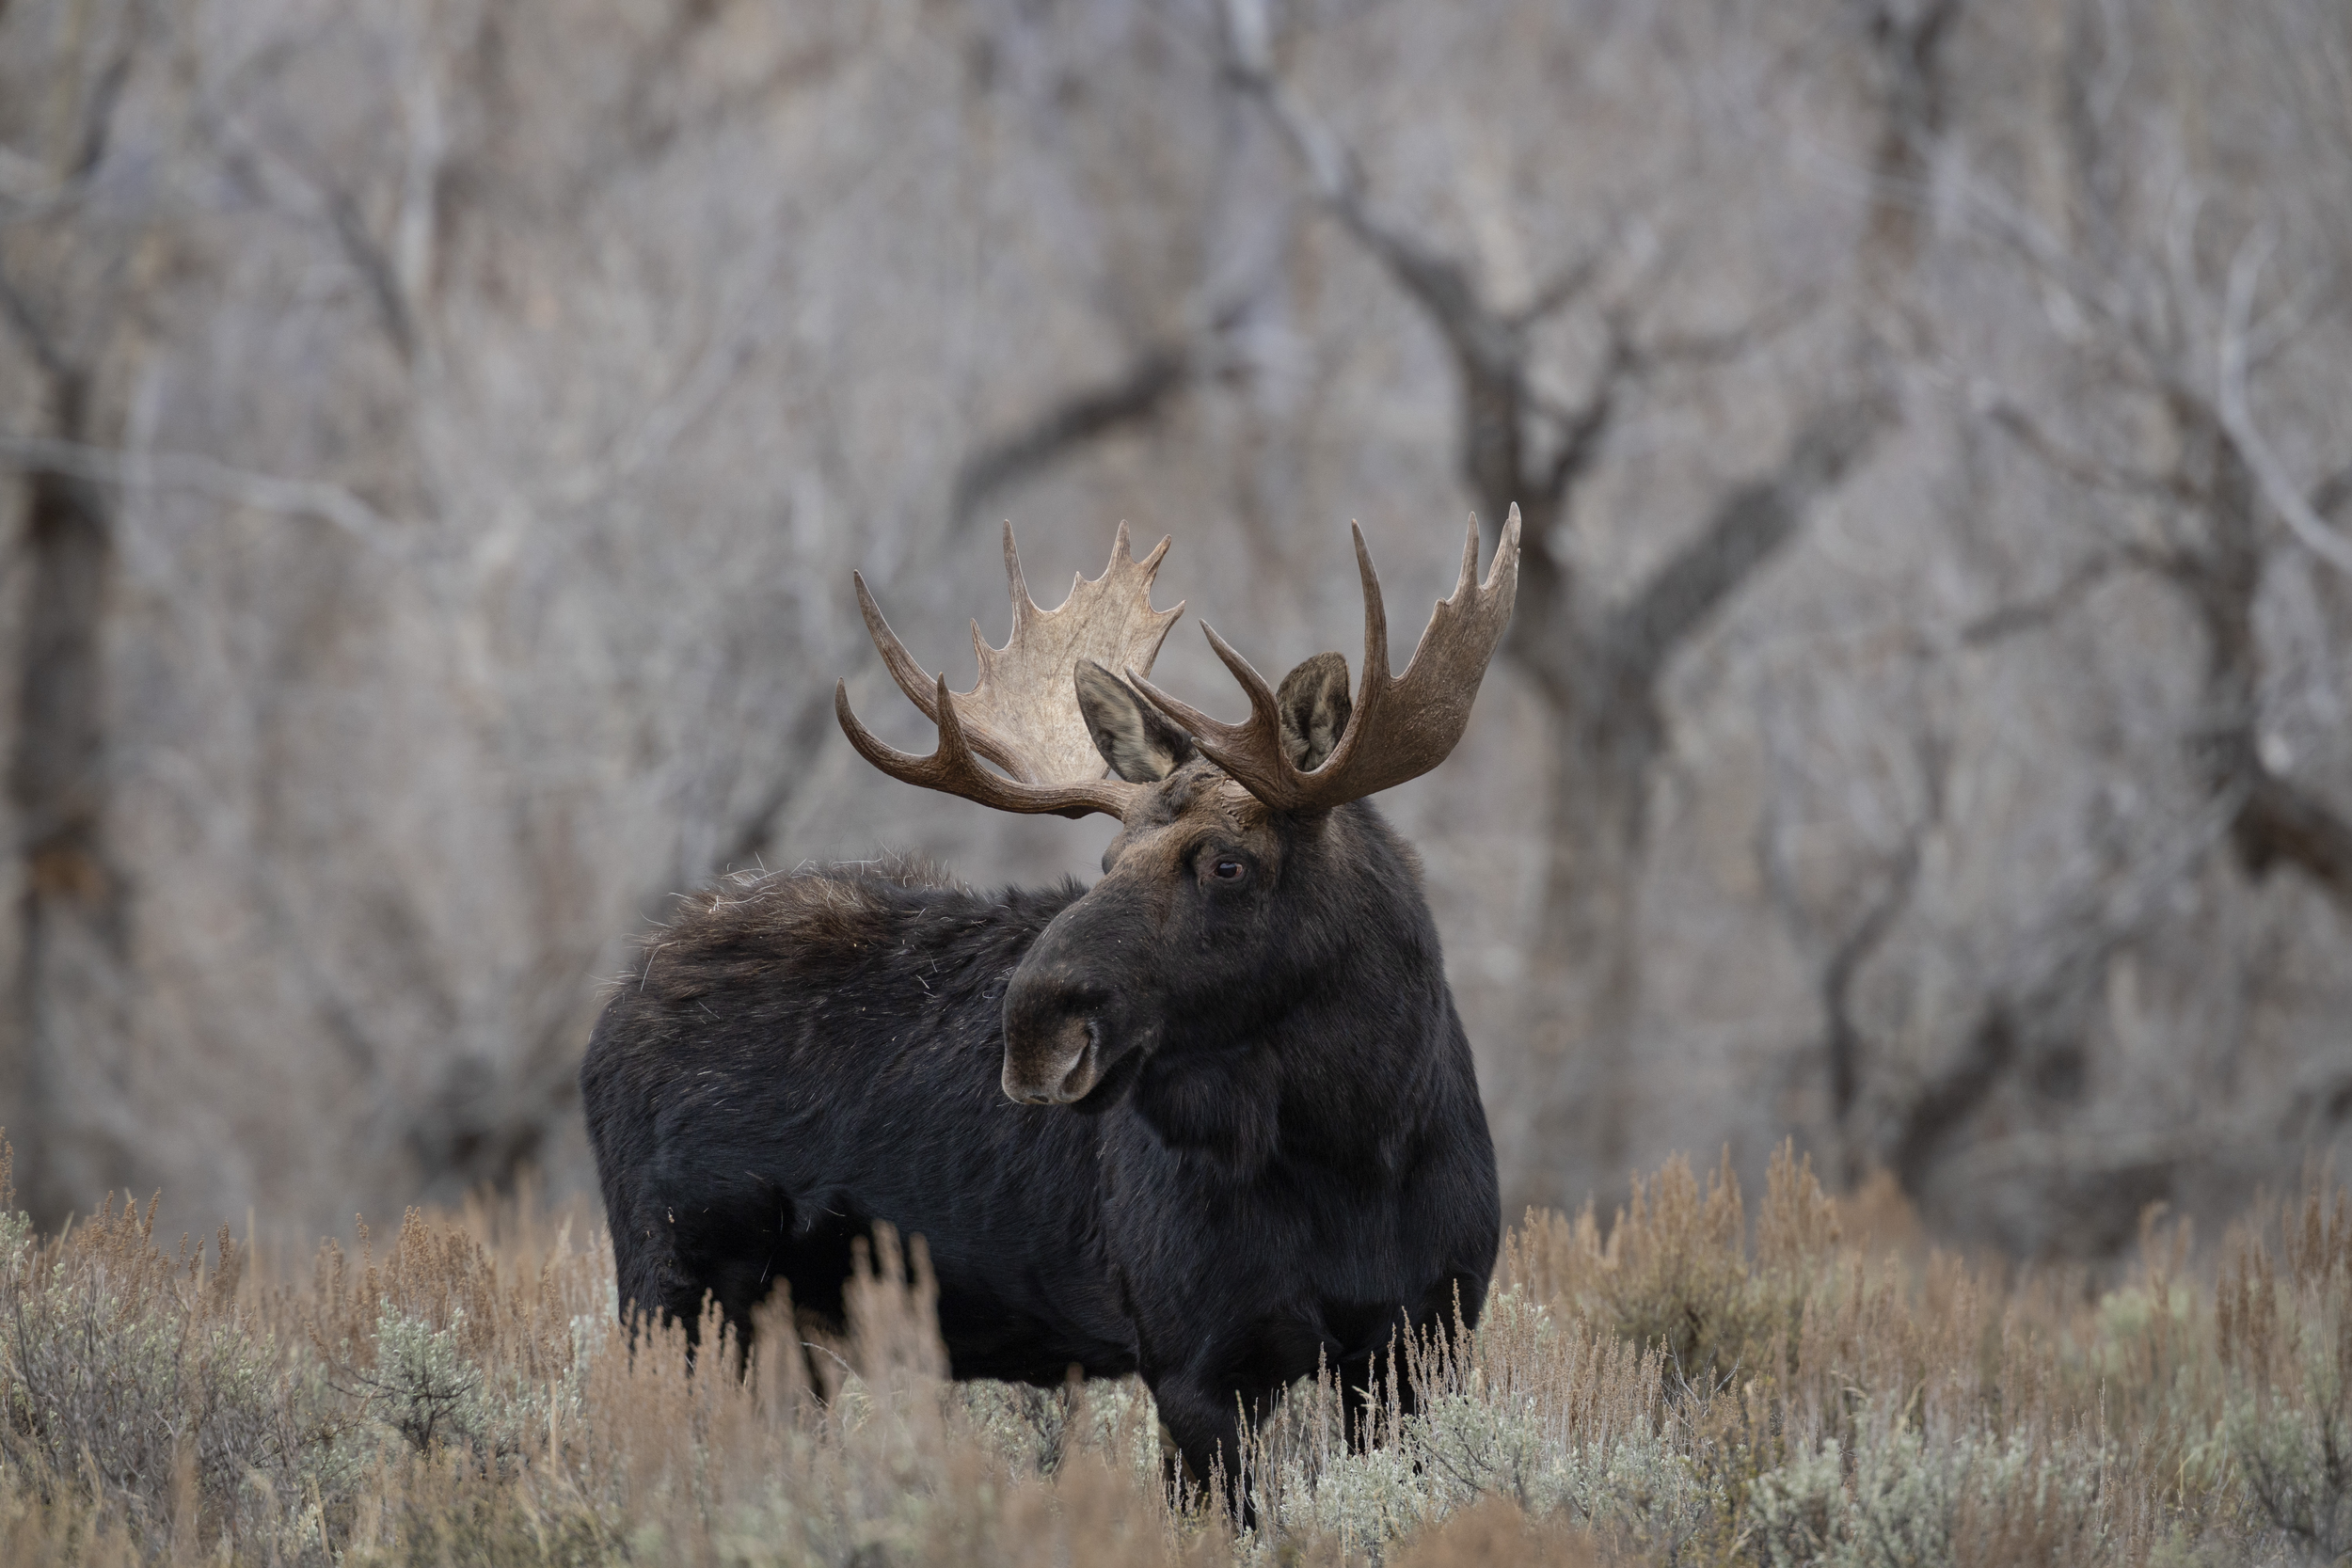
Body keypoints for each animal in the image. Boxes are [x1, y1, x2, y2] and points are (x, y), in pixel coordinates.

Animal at [579, 511, 1520, 1488]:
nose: (1033, 1031)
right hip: (672, 1289)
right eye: (1107, 859)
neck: (1357, 1145)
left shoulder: (1422, 1340)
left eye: (1227, 862)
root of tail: (615, 1008)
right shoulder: (1197, 1364)